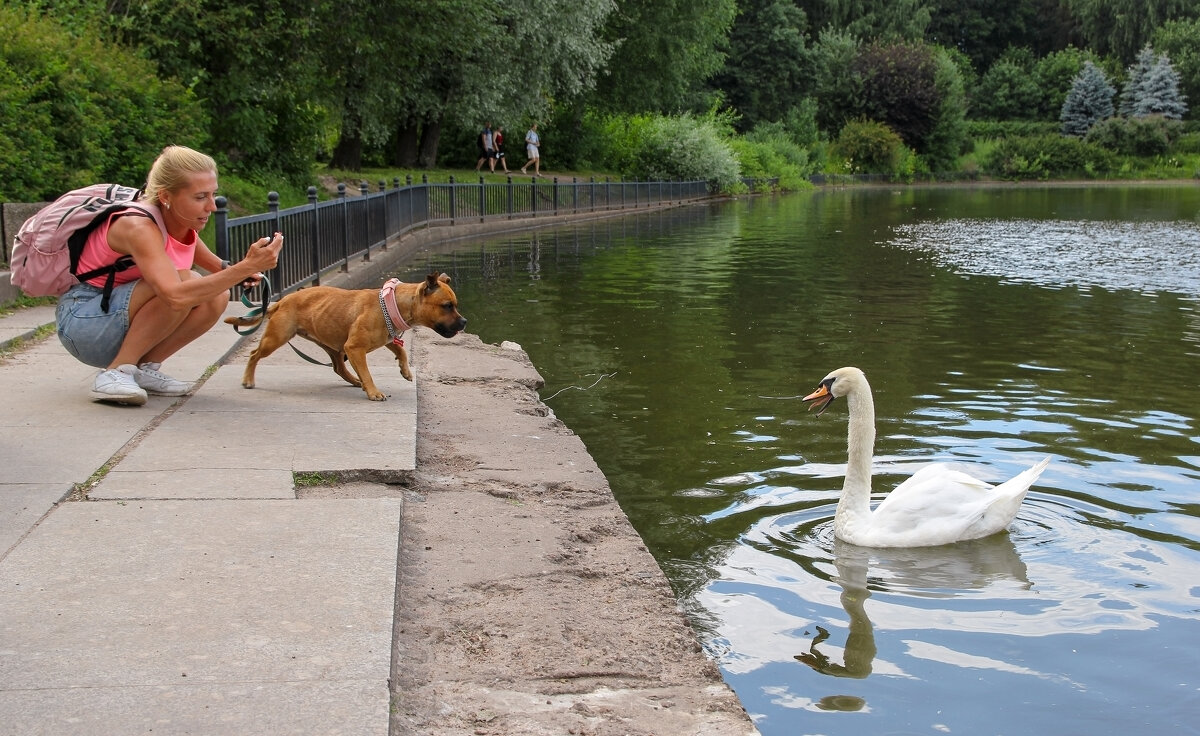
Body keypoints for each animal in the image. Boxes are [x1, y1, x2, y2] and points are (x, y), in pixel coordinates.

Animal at [223, 272, 465, 398]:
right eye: (447, 306)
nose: (464, 322)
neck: (393, 304)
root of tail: (282, 301)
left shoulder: (385, 337)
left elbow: (401, 350)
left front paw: (405, 370)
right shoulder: (355, 347)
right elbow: (368, 372)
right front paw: (373, 391)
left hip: (333, 345)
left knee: (339, 367)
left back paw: (355, 381)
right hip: (276, 338)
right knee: (254, 354)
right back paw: (248, 379)